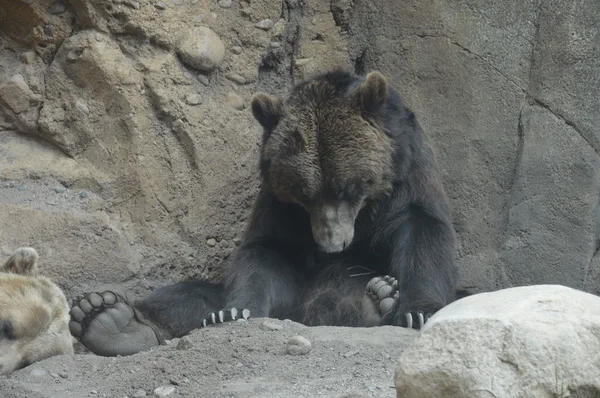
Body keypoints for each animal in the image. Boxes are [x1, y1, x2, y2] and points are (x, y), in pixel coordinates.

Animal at [69, 70, 460, 358]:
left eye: (348, 187)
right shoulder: (278, 201)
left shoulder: (407, 174)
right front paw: (233, 311)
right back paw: (107, 318)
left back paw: (375, 300)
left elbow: (424, 229)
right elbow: (265, 251)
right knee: (185, 296)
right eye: (304, 194)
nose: (331, 244)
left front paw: (417, 310)